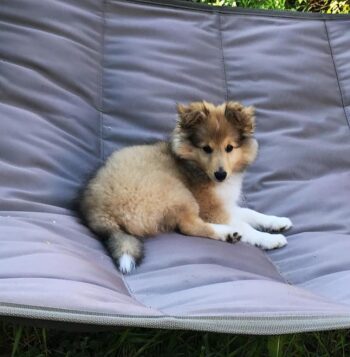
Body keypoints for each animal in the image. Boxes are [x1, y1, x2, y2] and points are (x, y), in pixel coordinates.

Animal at [80, 101, 292, 274]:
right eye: (206, 148)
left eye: (229, 148)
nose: (220, 175)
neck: (197, 167)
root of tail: (99, 213)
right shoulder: (212, 210)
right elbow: (245, 225)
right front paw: (268, 239)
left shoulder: (226, 205)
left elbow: (251, 213)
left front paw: (278, 221)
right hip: (178, 192)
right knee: (189, 226)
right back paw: (228, 233)